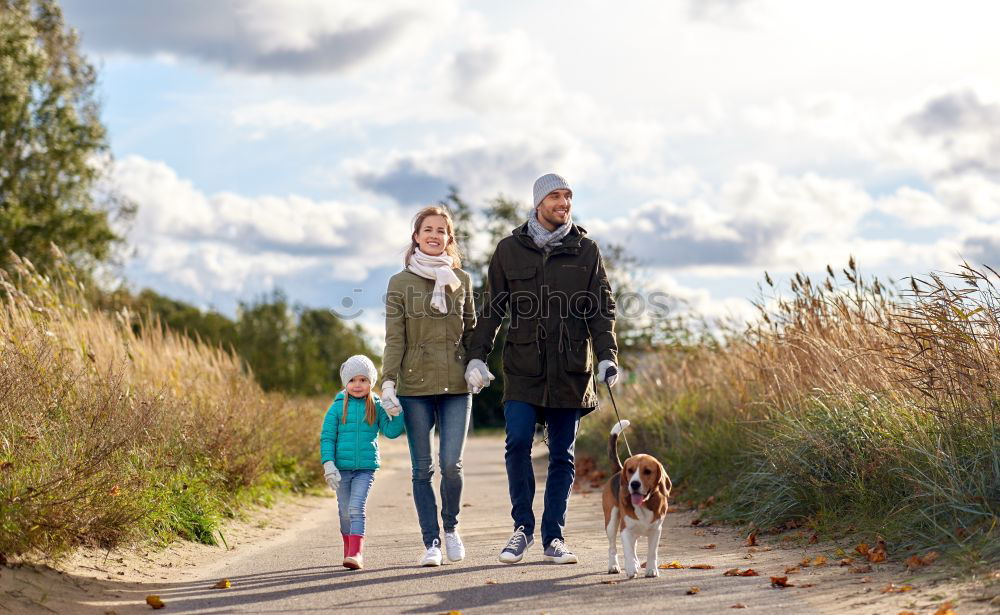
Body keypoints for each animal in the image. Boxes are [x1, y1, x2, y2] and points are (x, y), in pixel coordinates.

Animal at [600, 422, 672, 580]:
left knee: (635, 546)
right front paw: (631, 568)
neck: (644, 504)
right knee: (612, 547)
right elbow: (628, 552)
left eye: (647, 471)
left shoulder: (656, 530)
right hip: (611, 522)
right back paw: (614, 566)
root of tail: (618, 471)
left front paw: (651, 569)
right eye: (631, 470)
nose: (634, 484)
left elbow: (652, 553)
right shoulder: (625, 529)